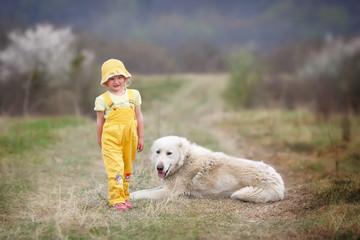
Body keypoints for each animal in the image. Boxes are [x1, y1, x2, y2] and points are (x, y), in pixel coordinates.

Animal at [129, 137, 284, 202]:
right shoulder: (164, 187)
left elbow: (142, 194)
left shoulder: (168, 192)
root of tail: (279, 182)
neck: (185, 160)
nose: (159, 167)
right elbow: (142, 191)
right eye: (158, 152)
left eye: (169, 153)